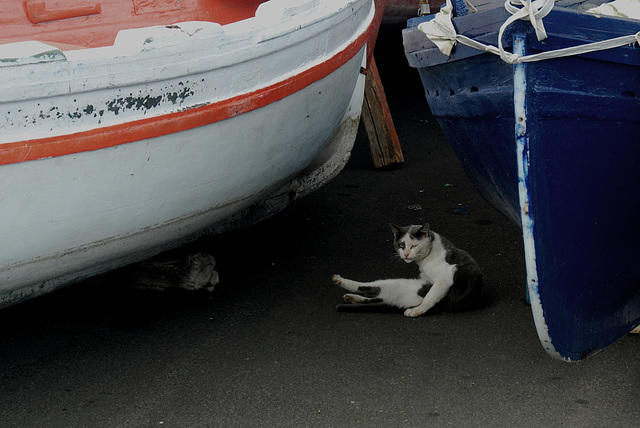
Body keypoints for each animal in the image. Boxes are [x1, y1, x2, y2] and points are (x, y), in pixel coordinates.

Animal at [332, 224, 482, 318]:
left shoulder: (445, 278)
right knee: (378, 297)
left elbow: (429, 298)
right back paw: (350, 297)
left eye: (414, 246)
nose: (406, 254)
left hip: (405, 285)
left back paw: (339, 280)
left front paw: (416, 311)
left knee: (372, 288)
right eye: (401, 245)